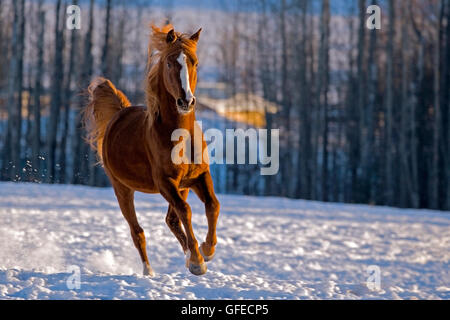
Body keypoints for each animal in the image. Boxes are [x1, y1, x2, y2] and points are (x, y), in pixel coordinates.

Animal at [83, 25, 221, 276]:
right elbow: (186, 210)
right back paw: (149, 272)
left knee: (171, 220)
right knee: (137, 231)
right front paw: (198, 261)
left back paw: (188, 255)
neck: (179, 136)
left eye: (195, 62)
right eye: (169, 63)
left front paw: (206, 251)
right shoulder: (165, 182)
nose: (186, 101)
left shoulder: (198, 177)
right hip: (122, 188)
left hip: (183, 186)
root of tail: (119, 114)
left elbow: (212, 205)